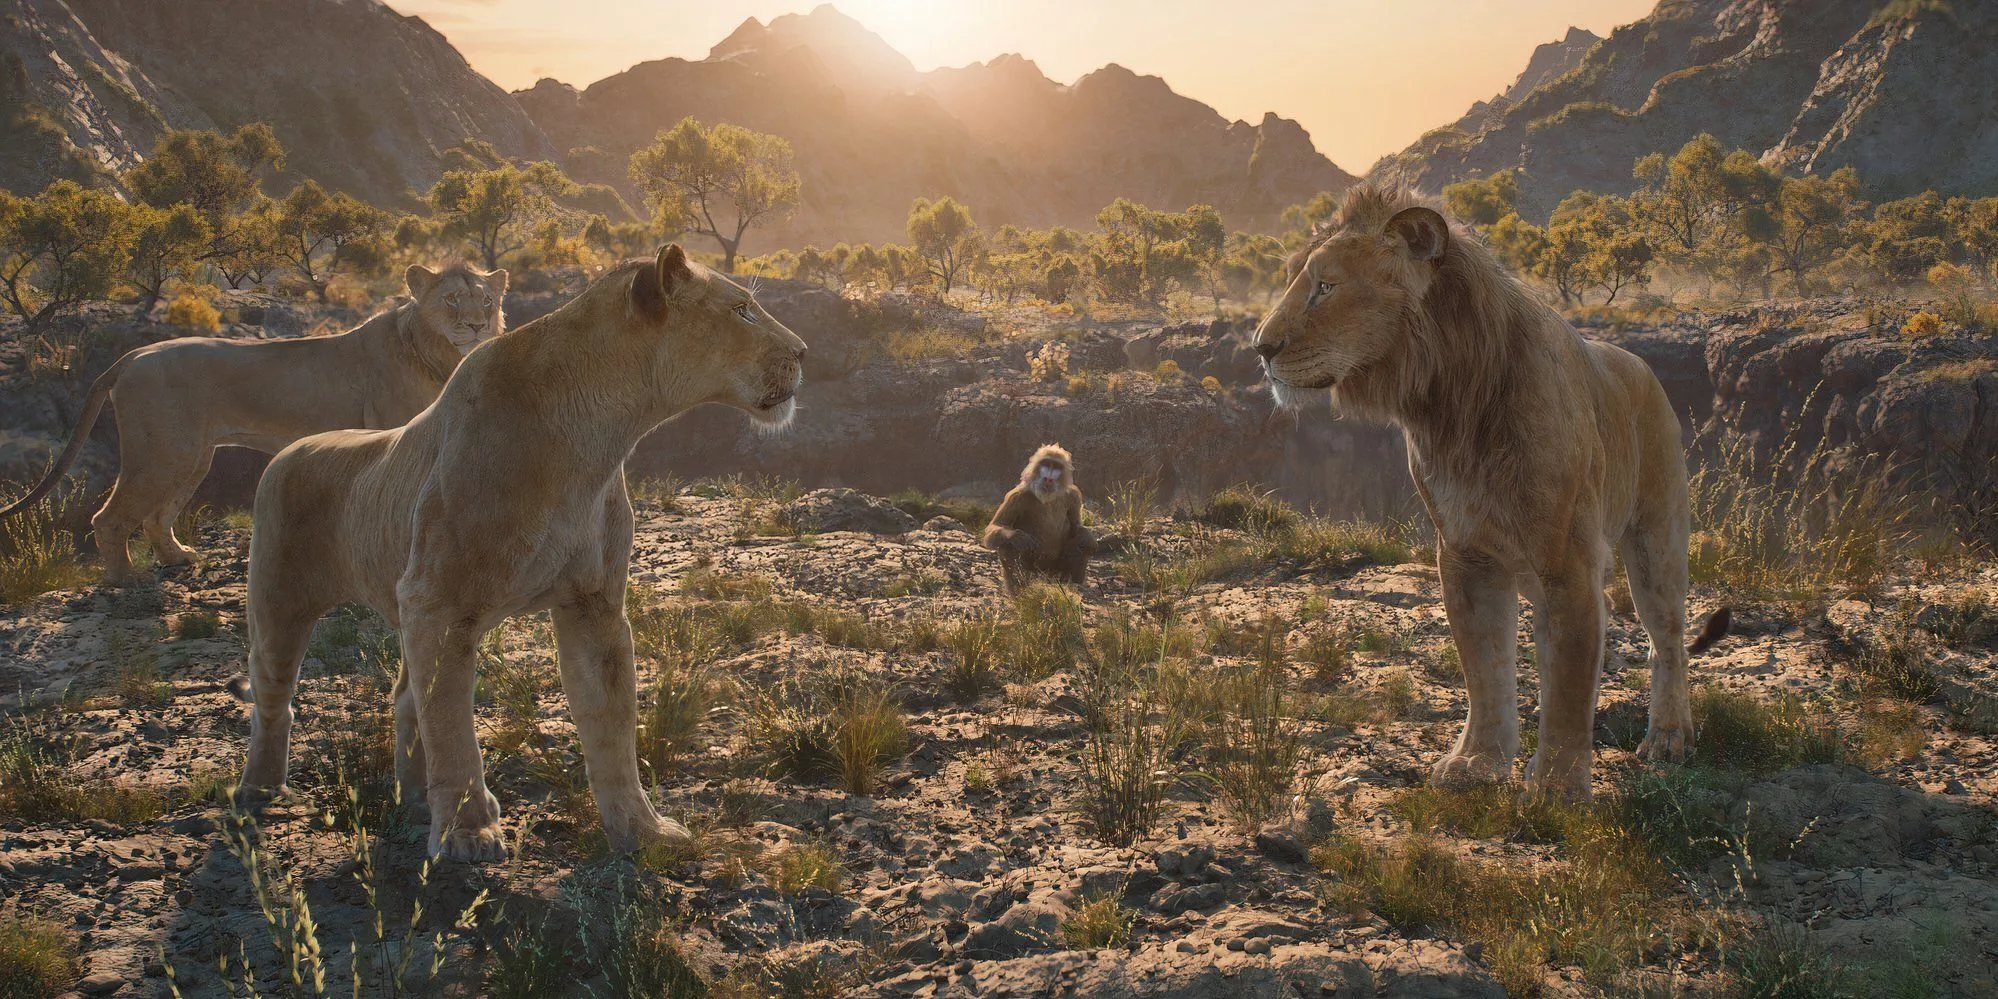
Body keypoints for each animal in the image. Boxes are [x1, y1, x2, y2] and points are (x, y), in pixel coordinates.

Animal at [0, 265, 507, 583]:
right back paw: (127, 582)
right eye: (452, 299)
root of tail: (133, 355)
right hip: (162, 455)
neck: (437, 355)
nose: (478, 326)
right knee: (109, 518)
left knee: (157, 516)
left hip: (191, 458)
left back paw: (178, 559)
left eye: (486, 300)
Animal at [245, 243, 807, 859]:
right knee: (275, 694)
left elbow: (611, 721)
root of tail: (289, 450)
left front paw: (641, 829)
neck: (597, 437)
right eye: (742, 309)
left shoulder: (593, 604)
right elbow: (452, 725)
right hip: (281, 599)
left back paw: (417, 800)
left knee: (406, 697)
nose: (804, 351)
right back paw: (261, 791)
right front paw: (468, 832)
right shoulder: (438, 602)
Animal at [1254, 185, 1726, 795]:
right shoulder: (1465, 554)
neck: (1450, 407)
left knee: (1666, 638)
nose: (1260, 348)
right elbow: (1484, 666)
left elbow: (1568, 680)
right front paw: (1478, 762)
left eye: (1326, 287)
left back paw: (1669, 736)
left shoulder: (1567, 560)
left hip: (1656, 538)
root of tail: (1641, 364)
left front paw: (1556, 787)